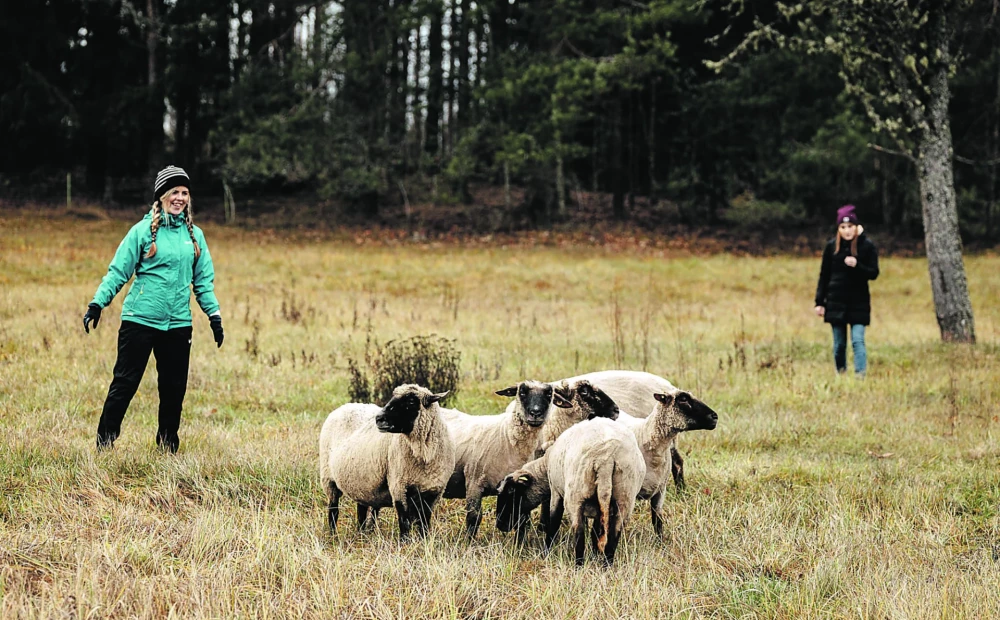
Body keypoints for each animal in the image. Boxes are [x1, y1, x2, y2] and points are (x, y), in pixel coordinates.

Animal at [318, 386, 456, 540]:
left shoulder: (433, 492)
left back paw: (361, 535)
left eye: (411, 401)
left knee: (361, 511)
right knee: (333, 510)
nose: (379, 419)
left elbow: (424, 522)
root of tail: (346, 406)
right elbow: (404, 521)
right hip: (328, 478)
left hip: (360, 483)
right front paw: (404, 542)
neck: (424, 456)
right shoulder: (399, 486)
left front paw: (423, 540)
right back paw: (333, 535)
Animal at [496, 416, 644, 568]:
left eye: (511, 493)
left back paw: (578, 565)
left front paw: (547, 552)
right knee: (614, 534)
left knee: (579, 532)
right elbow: (595, 531)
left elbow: (554, 522)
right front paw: (595, 554)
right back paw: (606, 566)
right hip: (625, 497)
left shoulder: (555, 491)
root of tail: (606, 458)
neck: (545, 466)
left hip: (575, 495)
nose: (500, 525)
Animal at [616, 390, 720, 536]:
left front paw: (660, 541)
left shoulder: (660, 490)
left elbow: (657, 521)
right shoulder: (628, 492)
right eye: (683, 399)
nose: (715, 417)